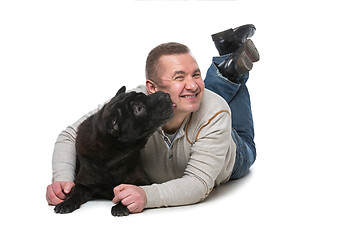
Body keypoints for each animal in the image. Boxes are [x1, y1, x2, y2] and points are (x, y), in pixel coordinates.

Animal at [54, 86, 174, 216]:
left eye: (144, 95)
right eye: (139, 109)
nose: (165, 94)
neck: (113, 160)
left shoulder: (142, 180)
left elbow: (134, 190)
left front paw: (121, 205)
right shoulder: (83, 184)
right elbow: (75, 194)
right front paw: (66, 203)